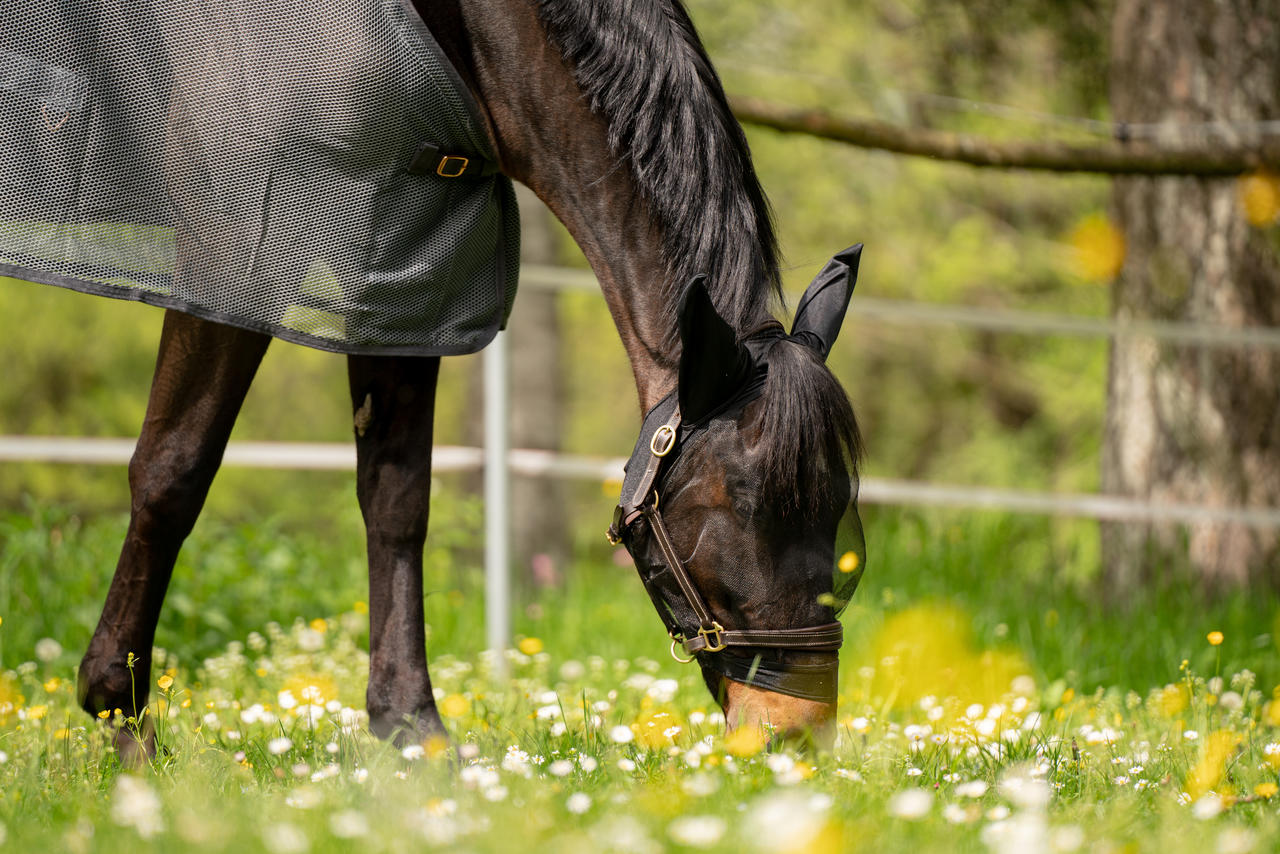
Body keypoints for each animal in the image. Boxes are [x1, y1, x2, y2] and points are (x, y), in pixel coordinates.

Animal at [57, 0, 860, 747]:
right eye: (741, 506)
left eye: (839, 507)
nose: (797, 731)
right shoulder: (227, 248)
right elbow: (175, 467)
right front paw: (120, 713)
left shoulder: (402, 267)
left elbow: (396, 499)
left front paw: (411, 729)